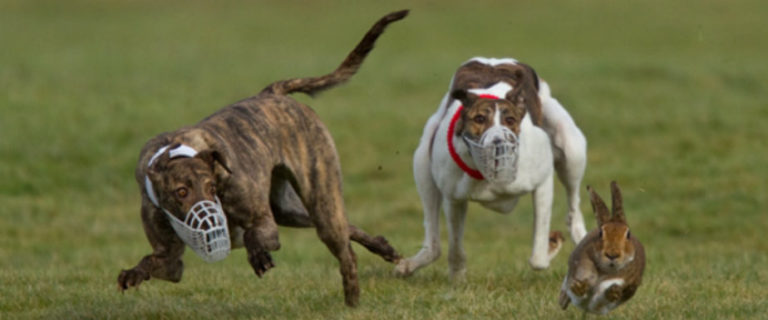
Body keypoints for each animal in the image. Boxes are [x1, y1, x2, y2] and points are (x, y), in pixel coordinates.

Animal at [118, 10, 408, 306]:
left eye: (211, 187)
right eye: (181, 192)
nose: (210, 223)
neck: (175, 151)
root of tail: (272, 92)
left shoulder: (264, 223)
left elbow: (253, 234)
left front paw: (259, 256)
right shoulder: (169, 259)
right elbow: (158, 262)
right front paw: (132, 273)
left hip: (320, 200)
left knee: (345, 250)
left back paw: (352, 298)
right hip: (290, 210)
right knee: (348, 227)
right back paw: (384, 248)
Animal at [396, 58, 588, 278]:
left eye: (510, 120)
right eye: (479, 118)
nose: (498, 142)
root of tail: (495, 60)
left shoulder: (543, 182)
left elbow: (538, 259)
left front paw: (551, 246)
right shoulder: (454, 199)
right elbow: (455, 249)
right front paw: (457, 276)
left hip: (571, 147)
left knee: (573, 207)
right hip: (422, 159)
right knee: (433, 243)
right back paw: (410, 264)